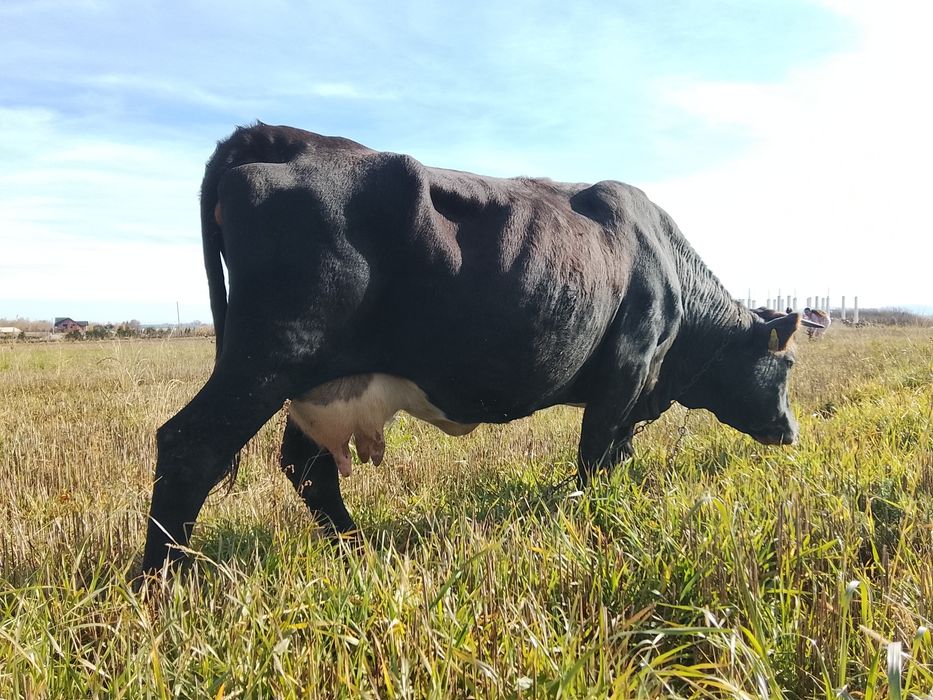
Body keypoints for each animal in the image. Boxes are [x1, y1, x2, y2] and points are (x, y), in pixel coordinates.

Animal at [141, 123, 822, 574]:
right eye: (786, 363)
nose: (790, 432)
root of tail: (277, 136)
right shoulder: (627, 370)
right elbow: (596, 457)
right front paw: (592, 521)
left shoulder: (632, 391)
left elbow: (617, 453)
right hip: (270, 358)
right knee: (191, 444)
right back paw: (160, 582)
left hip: (316, 379)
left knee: (308, 469)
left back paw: (361, 551)